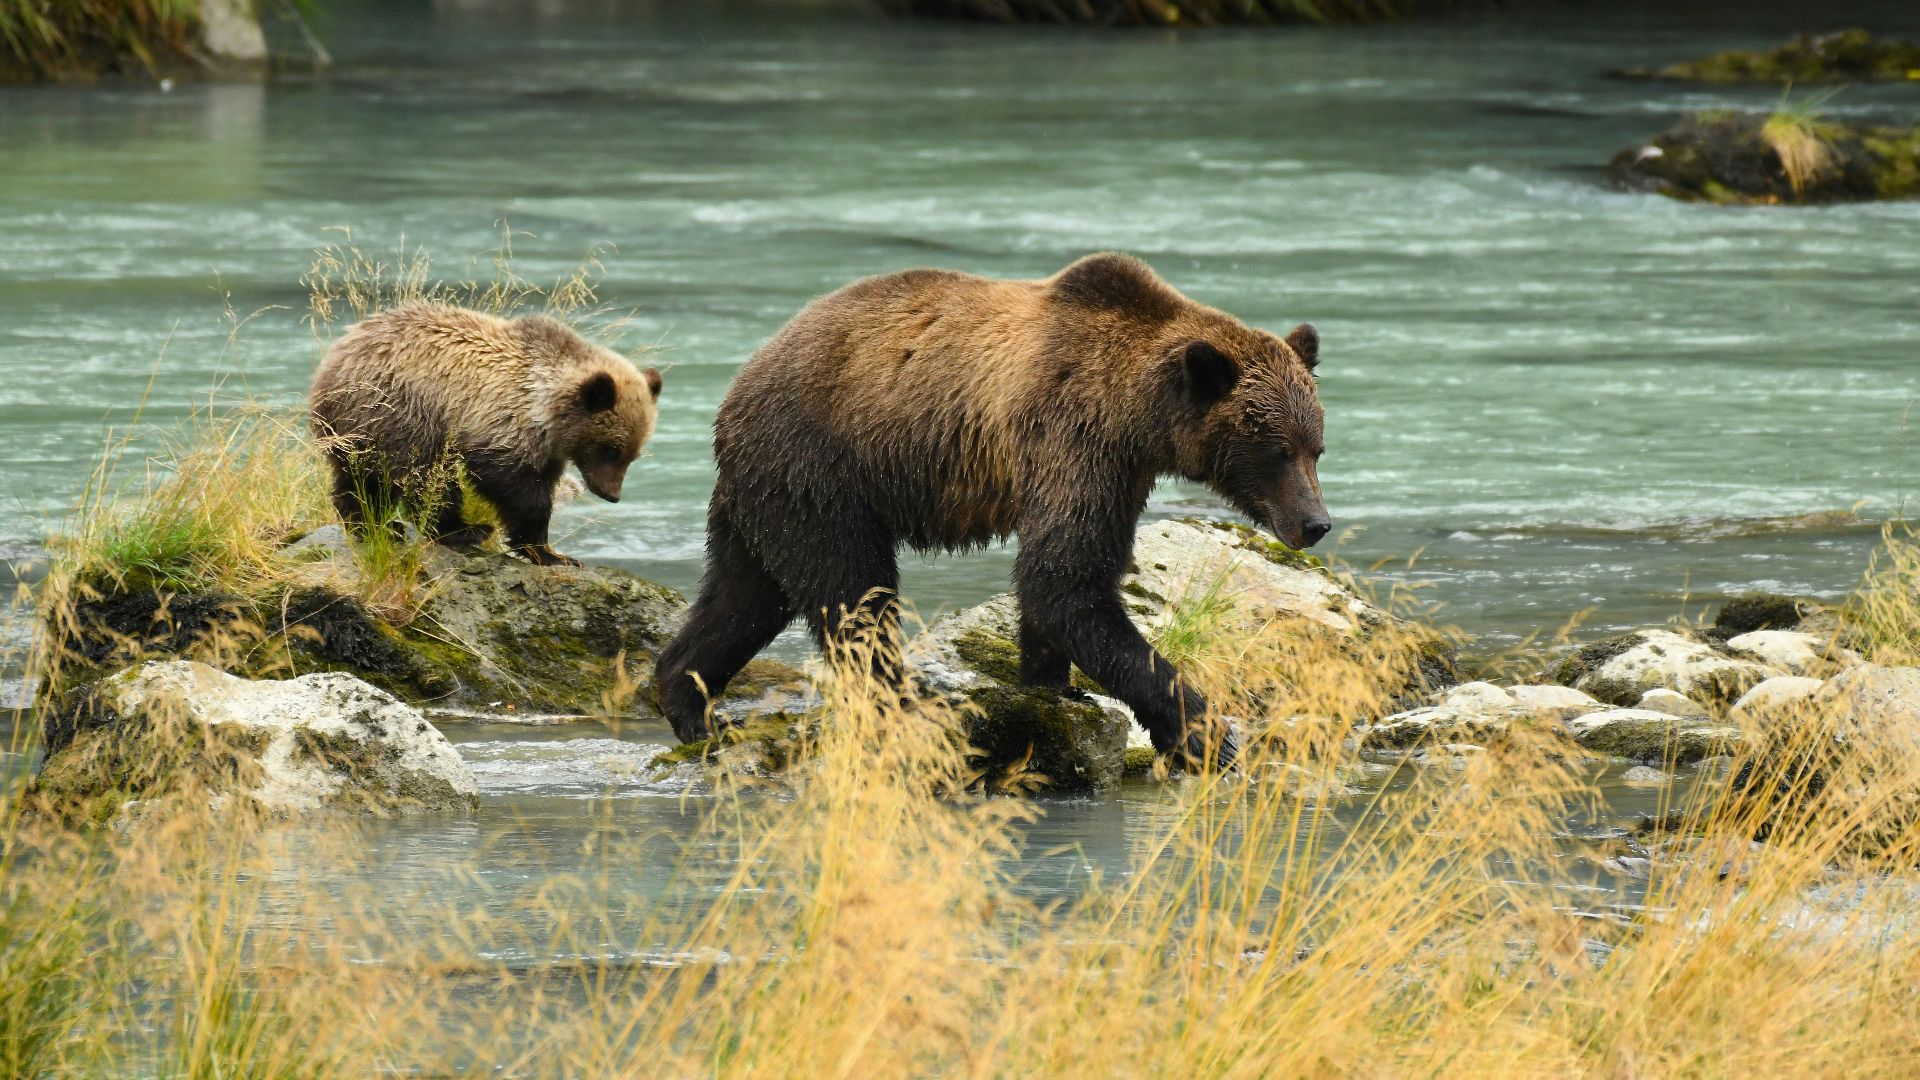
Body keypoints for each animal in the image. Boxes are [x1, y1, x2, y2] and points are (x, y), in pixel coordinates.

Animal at [309, 302, 662, 567]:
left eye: (633, 454)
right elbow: (512, 484)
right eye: (611, 449)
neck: (548, 413)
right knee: (425, 475)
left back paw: (375, 525)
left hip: (360, 427)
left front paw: (551, 552)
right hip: (399, 410)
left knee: (358, 477)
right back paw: (464, 530)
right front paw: (546, 550)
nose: (612, 494)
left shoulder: (547, 449)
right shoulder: (500, 420)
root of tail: (331, 364)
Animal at [653, 253, 1328, 766]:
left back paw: (692, 705)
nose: (1316, 523)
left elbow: (1064, 584)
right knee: (854, 594)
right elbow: (1066, 580)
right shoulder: (1071, 435)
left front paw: (1053, 685)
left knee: (743, 596)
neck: (1136, 413)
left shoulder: (1119, 470)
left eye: (1317, 446)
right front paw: (1205, 732)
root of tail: (735, 392)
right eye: (1277, 450)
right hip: (822, 471)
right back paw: (902, 706)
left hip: (766, 497)